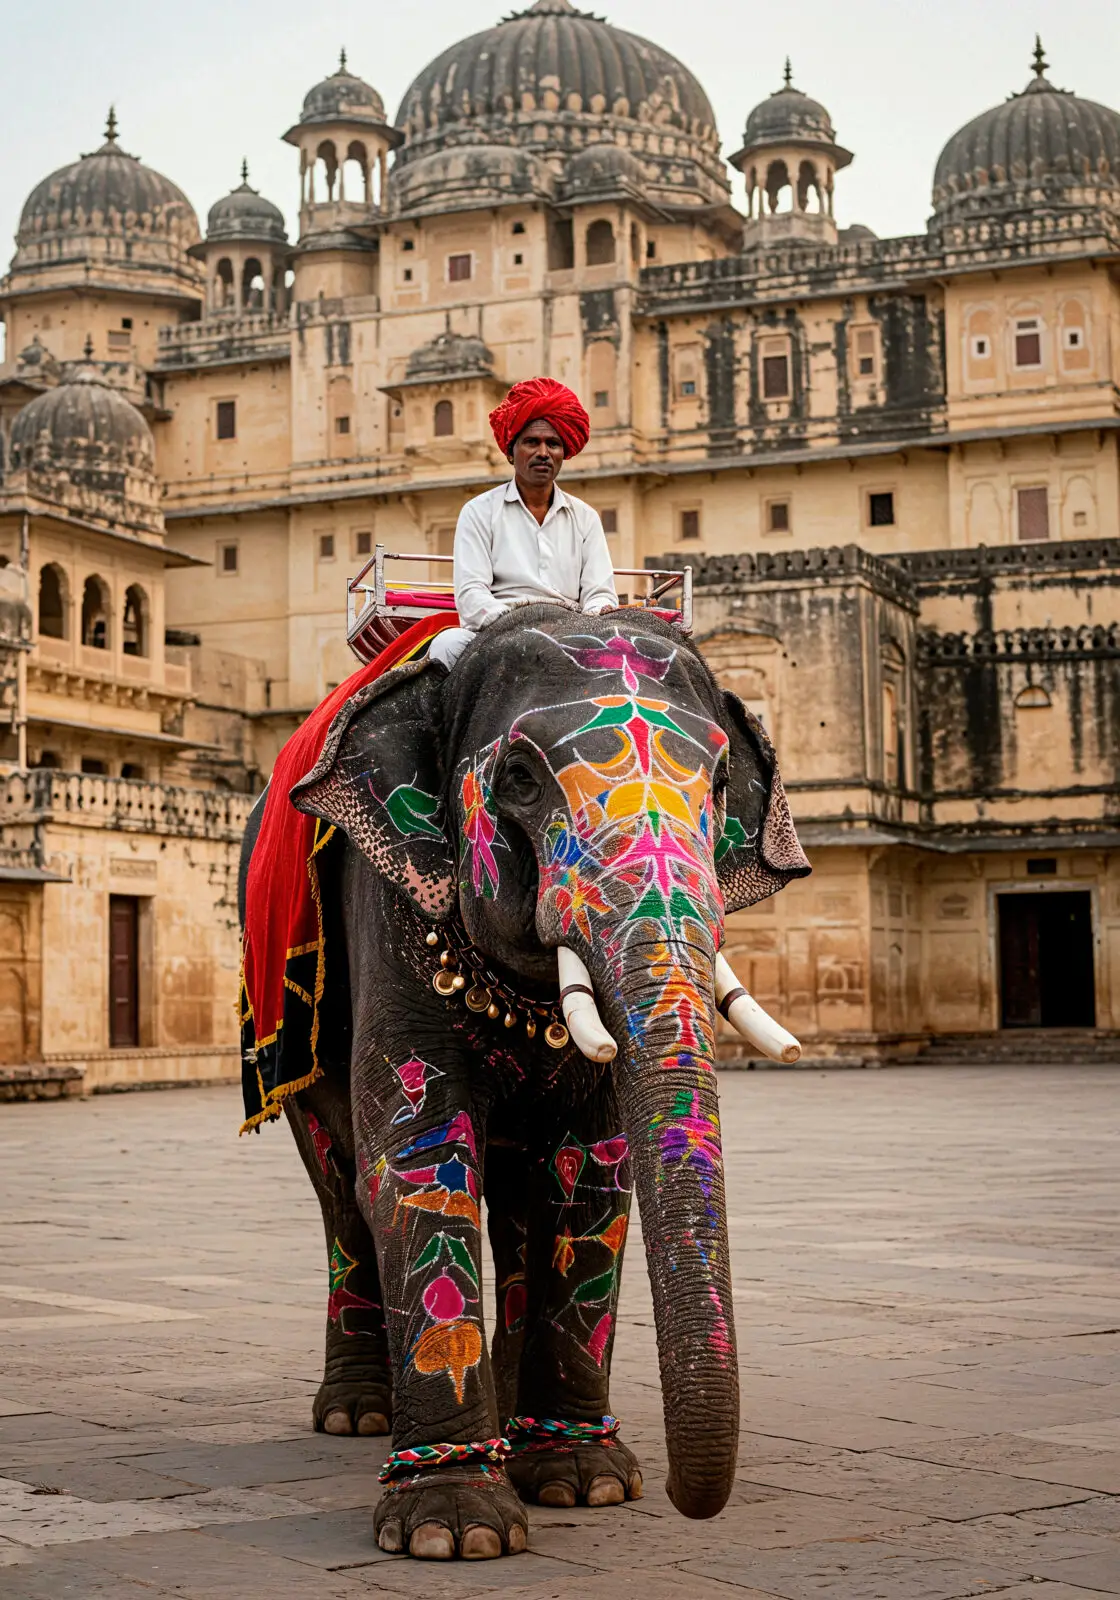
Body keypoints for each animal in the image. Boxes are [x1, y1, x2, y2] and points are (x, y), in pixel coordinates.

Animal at [238, 603, 810, 1561]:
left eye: (724, 784)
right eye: (518, 778)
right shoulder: (389, 900)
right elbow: (418, 1154)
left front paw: (587, 1483)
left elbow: (596, 1169)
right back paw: (358, 1415)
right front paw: (454, 1531)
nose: (688, 1500)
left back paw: (510, 1420)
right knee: (339, 1183)